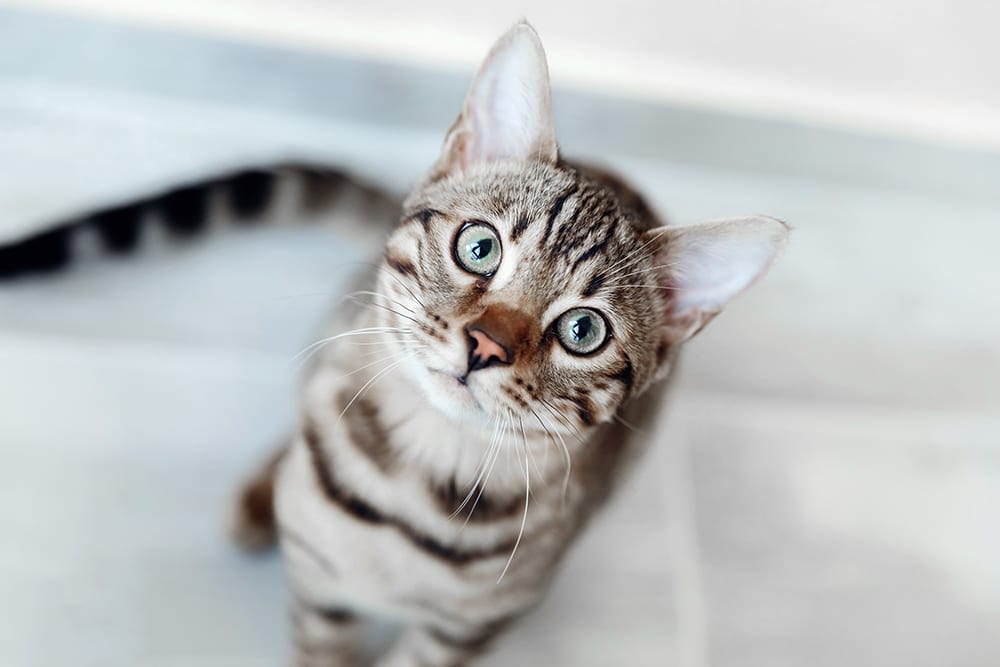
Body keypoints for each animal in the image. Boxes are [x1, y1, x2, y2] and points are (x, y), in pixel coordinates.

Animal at [0, 20, 788, 667]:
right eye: (479, 247)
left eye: (583, 330)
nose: (485, 344)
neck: (414, 485)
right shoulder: (321, 591)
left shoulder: (466, 631)